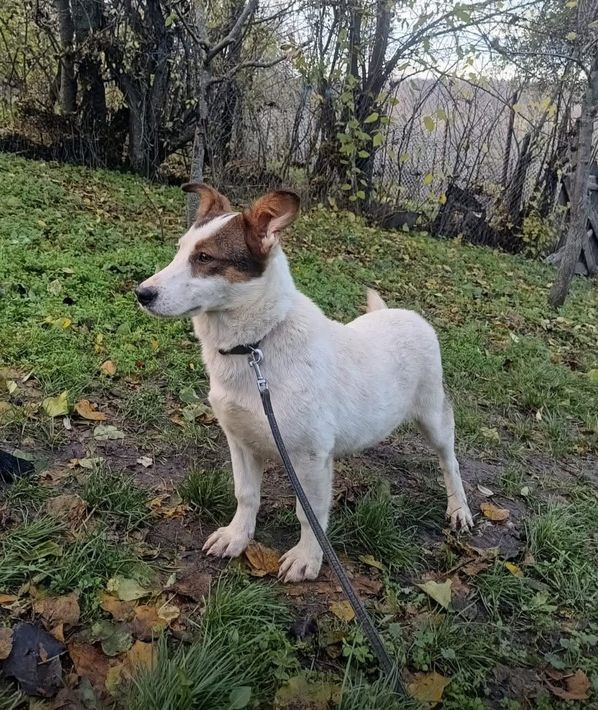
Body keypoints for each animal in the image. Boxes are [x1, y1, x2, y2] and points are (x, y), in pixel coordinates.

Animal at [136, 184, 473, 582]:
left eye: (204, 257)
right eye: (179, 249)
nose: (141, 293)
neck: (256, 347)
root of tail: (402, 314)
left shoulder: (309, 459)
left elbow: (309, 515)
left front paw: (307, 558)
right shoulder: (240, 441)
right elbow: (246, 495)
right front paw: (237, 536)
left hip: (434, 420)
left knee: (450, 461)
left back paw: (459, 509)